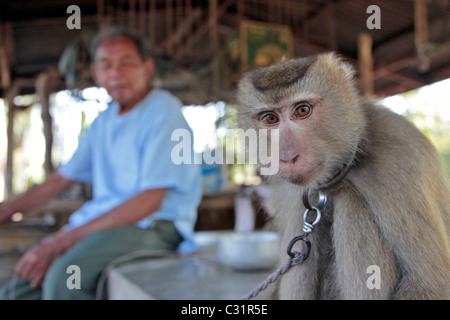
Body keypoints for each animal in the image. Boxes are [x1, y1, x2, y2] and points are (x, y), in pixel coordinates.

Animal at [236, 52, 450, 300]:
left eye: (302, 110)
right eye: (270, 118)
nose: (288, 157)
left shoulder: (399, 160)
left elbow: (429, 283)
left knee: (350, 202)